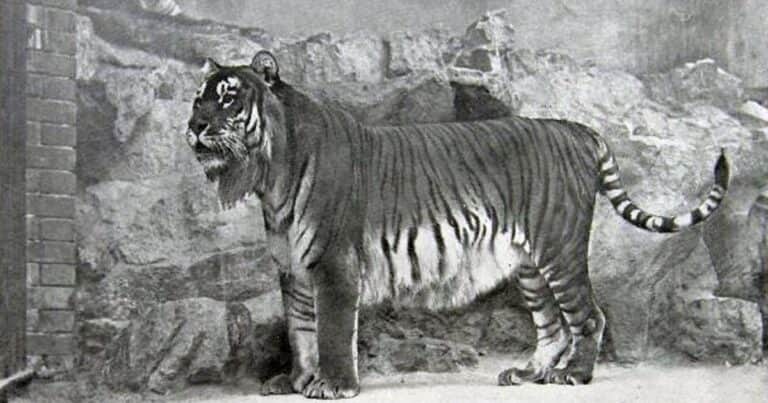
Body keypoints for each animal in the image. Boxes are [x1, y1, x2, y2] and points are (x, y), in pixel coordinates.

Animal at [186, 50, 729, 399]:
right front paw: (296, 381)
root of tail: (576, 128)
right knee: (551, 325)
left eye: (229, 98)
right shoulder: (293, 268)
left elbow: (332, 331)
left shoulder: (333, 265)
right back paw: (527, 373)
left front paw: (333, 386)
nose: (194, 127)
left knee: (588, 316)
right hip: (530, 264)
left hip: (560, 249)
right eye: (198, 99)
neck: (270, 174)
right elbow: (300, 330)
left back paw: (573, 375)